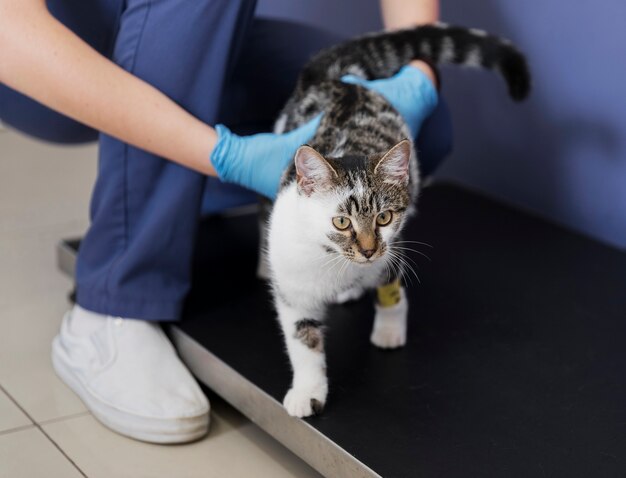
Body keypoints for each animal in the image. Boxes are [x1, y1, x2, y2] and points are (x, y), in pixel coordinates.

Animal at [260, 23, 528, 418]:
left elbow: (392, 288)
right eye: (342, 223)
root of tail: (343, 82)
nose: (369, 250)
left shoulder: (394, 248)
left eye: (384, 217)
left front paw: (389, 329)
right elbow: (302, 338)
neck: (338, 265)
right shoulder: (293, 284)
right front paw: (308, 390)